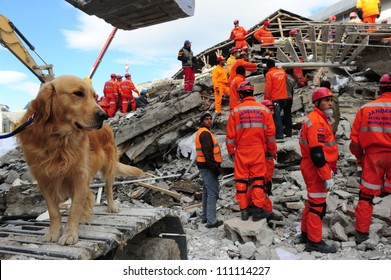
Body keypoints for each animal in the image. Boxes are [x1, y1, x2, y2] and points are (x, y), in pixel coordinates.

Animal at [16, 75, 145, 245]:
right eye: (78, 93)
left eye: (95, 97)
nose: (103, 115)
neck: (57, 139)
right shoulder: (44, 179)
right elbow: (53, 211)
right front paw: (53, 233)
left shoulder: (79, 176)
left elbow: (74, 209)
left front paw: (70, 234)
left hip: (108, 168)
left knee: (109, 189)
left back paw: (111, 207)